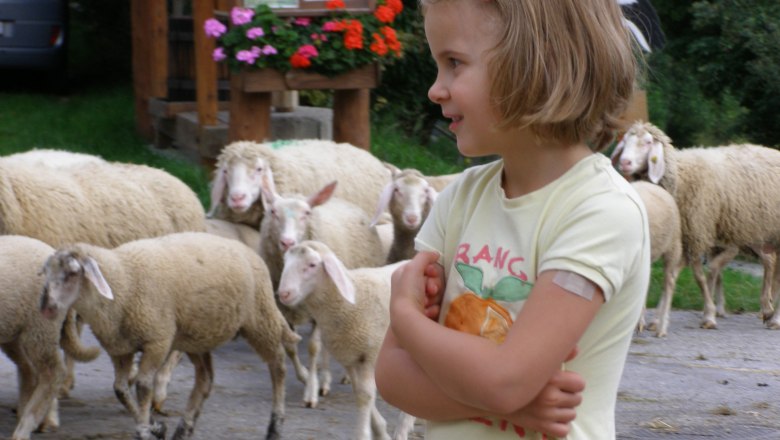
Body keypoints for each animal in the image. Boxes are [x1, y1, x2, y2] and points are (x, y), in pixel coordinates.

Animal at [0, 235, 100, 440]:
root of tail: (51, 250)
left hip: (41, 325)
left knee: (52, 372)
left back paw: (25, 427)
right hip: (15, 330)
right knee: (29, 370)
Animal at [38, 232, 300, 440]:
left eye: (73, 273)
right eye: (47, 273)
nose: (47, 307)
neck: (123, 279)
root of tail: (249, 251)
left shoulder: (158, 341)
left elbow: (143, 386)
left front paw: (144, 431)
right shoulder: (120, 349)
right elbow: (120, 389)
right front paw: (155, 427)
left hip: (260, 319)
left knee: (278, 365)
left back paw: (275, 427)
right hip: (197, 337)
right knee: (205, 380)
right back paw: (183, 429)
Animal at [259, 176, 387, 408]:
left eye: (307, 213)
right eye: (272, 211)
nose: (287, 242)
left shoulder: (320, 309)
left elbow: (313, 348)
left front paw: (311, 391)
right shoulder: (283, 308)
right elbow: (290, 347)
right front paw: (304, 375)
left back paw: (333, 378)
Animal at [276, 240, 412, 440]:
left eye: (312, 265)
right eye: (285, 261)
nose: (283, 294)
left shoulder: (370, 355)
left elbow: (365, 396)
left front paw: (363, 434)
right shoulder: (350, 357)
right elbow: (359, 391)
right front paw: (380, 430)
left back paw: (404, 427)